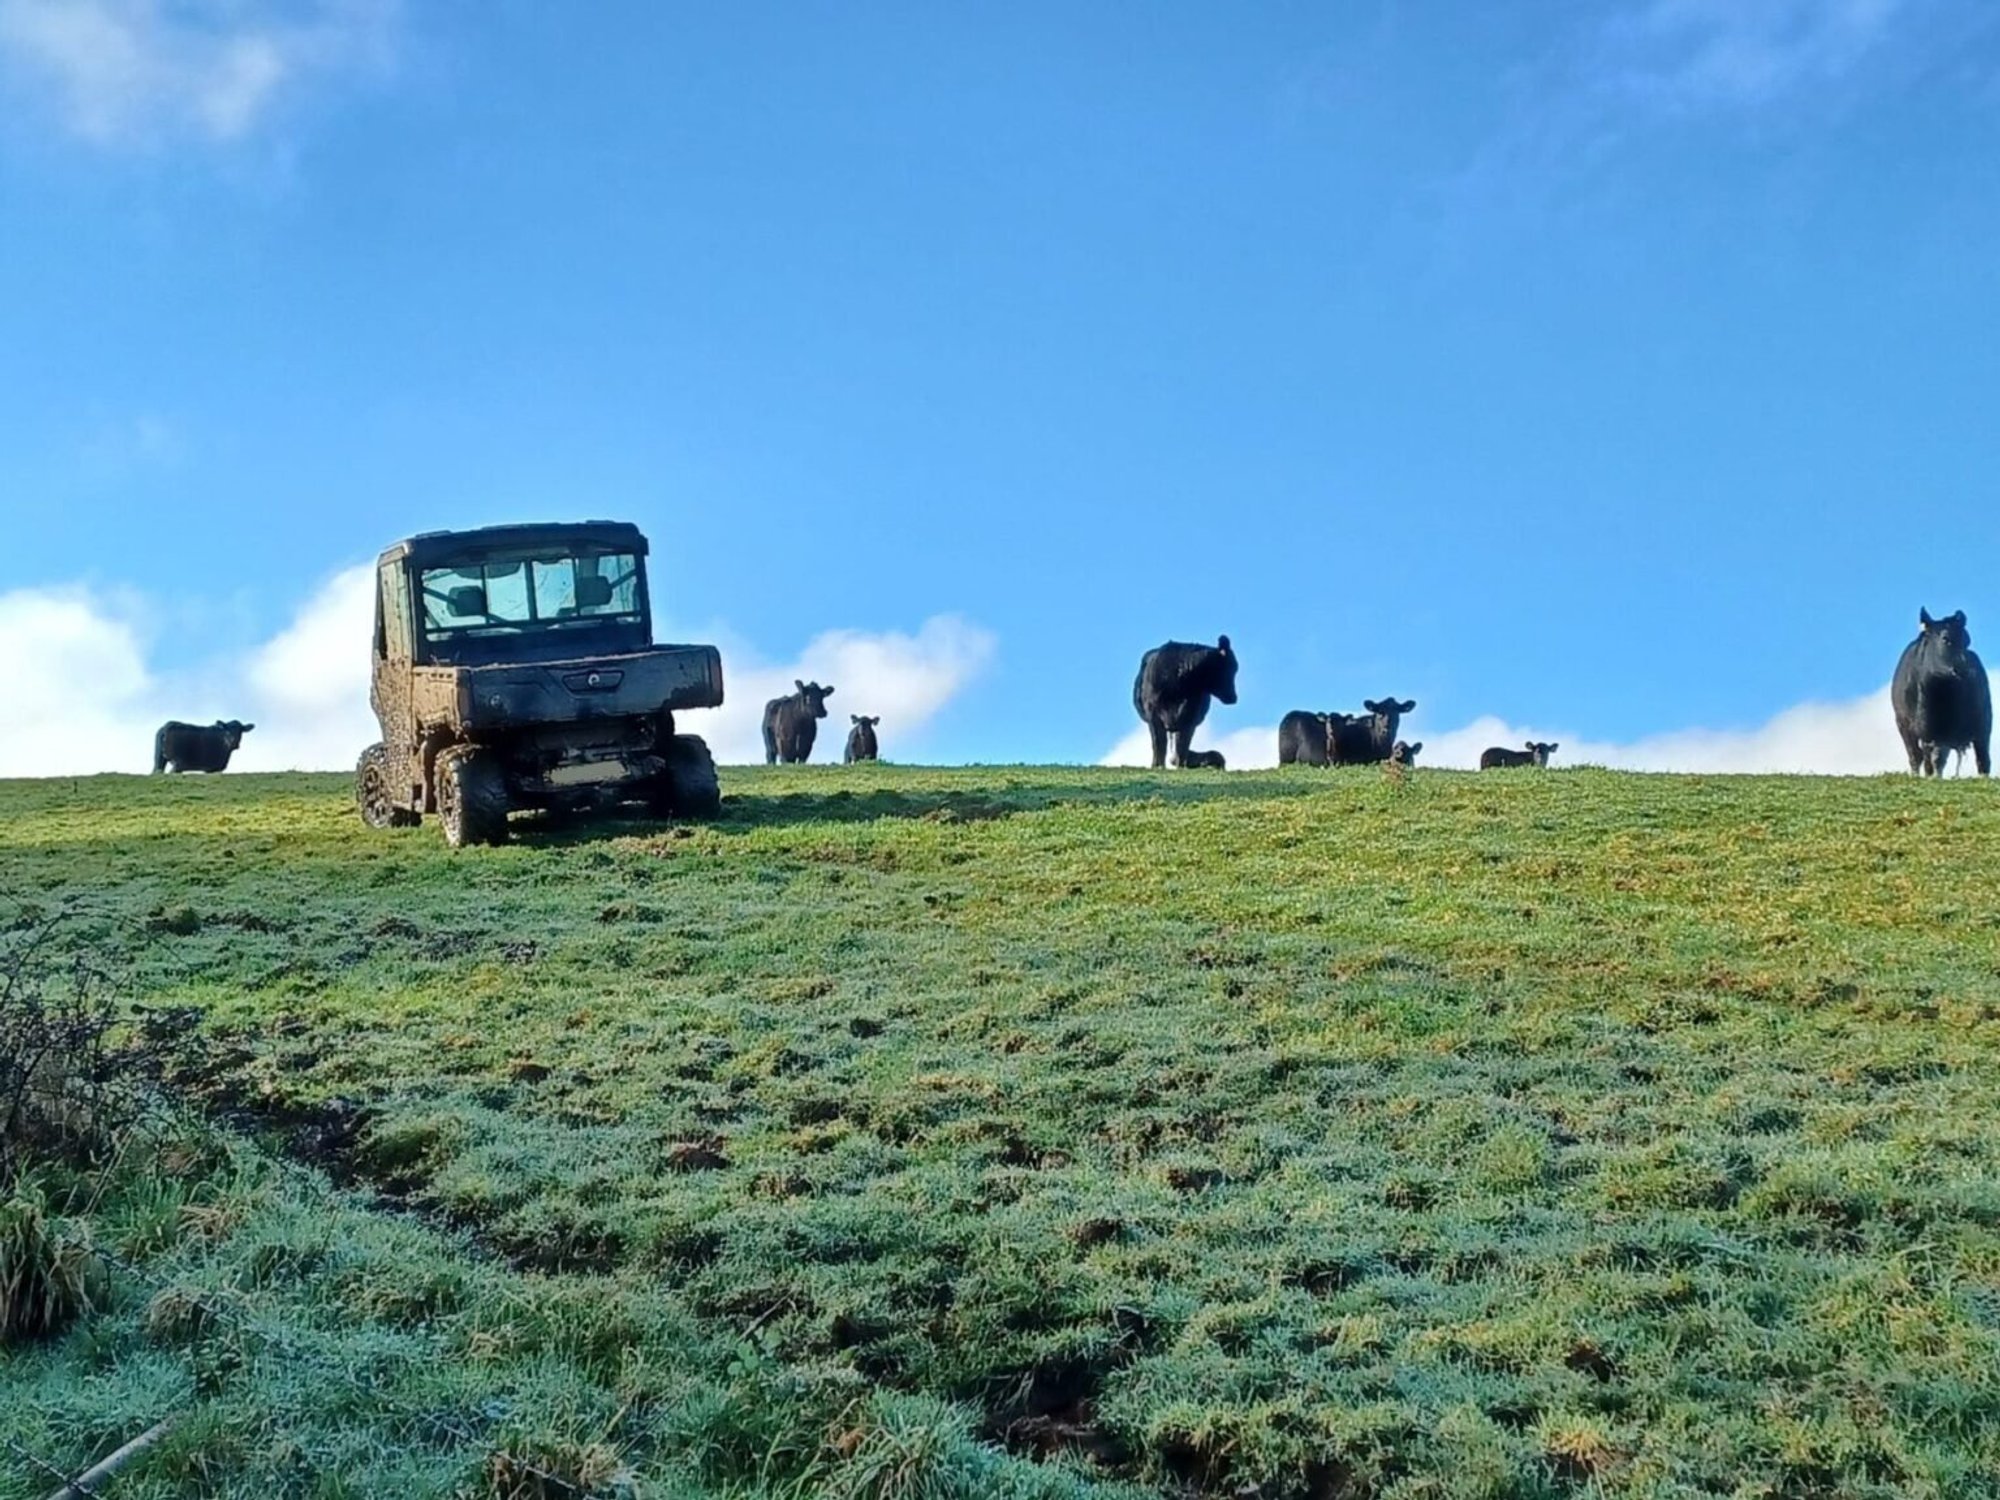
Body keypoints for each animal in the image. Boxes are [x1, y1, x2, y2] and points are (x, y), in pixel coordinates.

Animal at [1132, 636, 1239, 769]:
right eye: (1227, 667)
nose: (1233, 698)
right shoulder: (1153, 713)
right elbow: (1159, 743)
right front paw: (1157, 766)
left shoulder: (1190, 717)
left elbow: (1182, 744)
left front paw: (1181, 766)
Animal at [1893, 608, 1992, 777]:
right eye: (1946, 639)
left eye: (1967, 641)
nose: (1967, 669)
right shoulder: (1916, 728)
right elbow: (1924, 759)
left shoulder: (1981, 724)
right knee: (1919, 757)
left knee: (1981, 758)